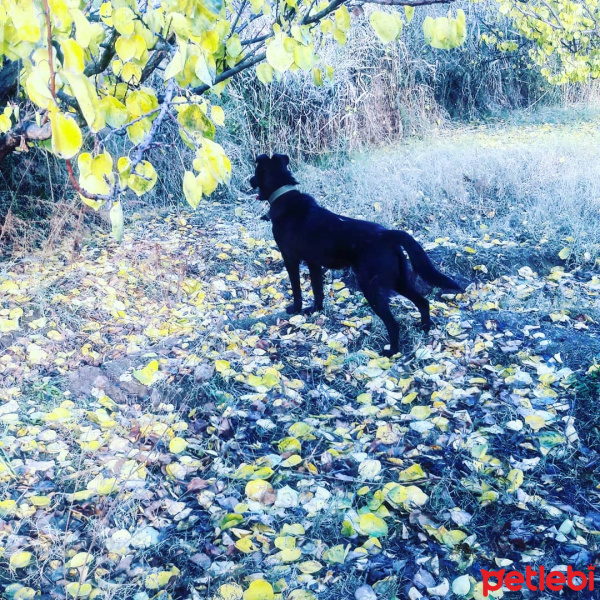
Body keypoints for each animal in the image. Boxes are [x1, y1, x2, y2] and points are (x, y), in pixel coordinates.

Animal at [250, 152, 464, 356]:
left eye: (256, 171)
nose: (249, 181)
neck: (284, 195)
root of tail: (387, 234)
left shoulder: (290, 258)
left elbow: (297, 289)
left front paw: (295, 309)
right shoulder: (314, 263)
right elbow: (318, 289)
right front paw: (315, 310)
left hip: (370, 285)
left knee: (393, 324)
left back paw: (391, 352)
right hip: (398, 280)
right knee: (423, 302)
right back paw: (424, 328)